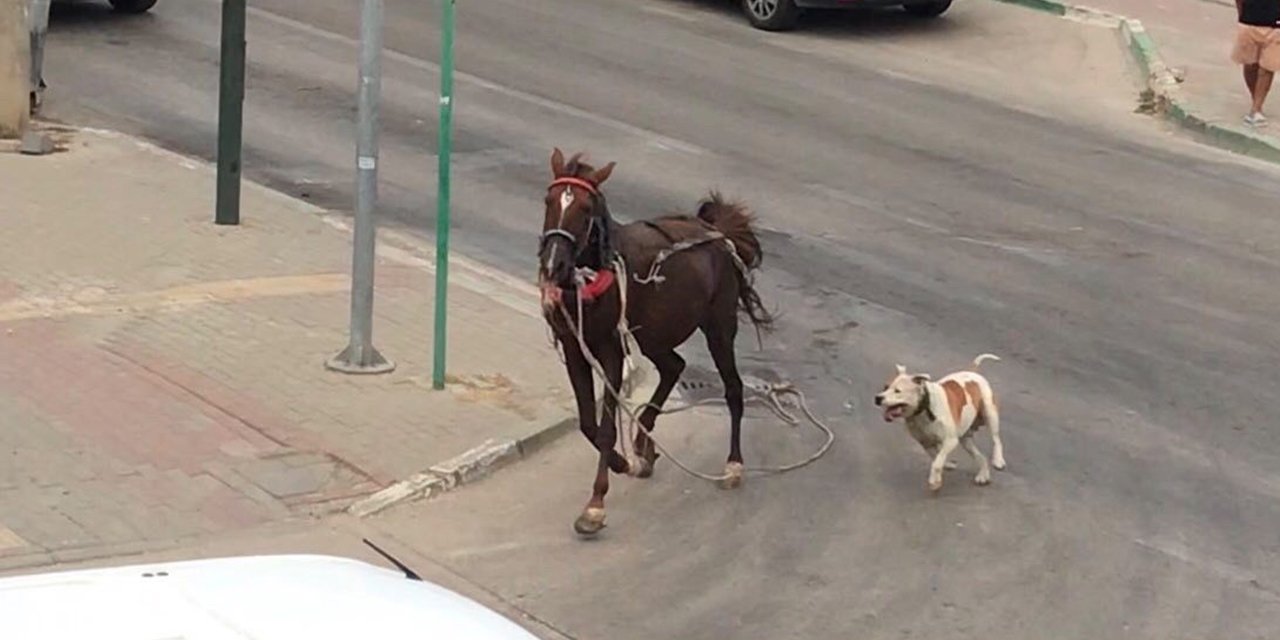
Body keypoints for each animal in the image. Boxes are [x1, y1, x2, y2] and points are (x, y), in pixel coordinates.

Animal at [537, 148, 773, 535]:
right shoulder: (575, 348)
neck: (592, 275)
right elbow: (587, 424)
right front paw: (624, 462)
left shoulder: (612, 351)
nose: (553, 265)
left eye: (585, 208)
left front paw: (595, 505)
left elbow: (605, 429)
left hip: (718, 328)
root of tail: (718, 234)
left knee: (733, 388)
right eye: (550, 200)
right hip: (653, 334)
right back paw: (643, 446)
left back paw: (733, 465)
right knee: (674, 366)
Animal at [875, 353, 1003, 491]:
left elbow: (937, 462)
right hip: (965, 439)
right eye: (885, 387)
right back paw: (983, 475)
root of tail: (972, 372)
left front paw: (934, 480)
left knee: (996, 439)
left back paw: (998, 460)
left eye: (897, 391)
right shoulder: (926, 443)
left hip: (990, 413)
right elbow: (936, 457)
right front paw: (944, 468)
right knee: (980, 456)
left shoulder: (950, 440)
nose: (877, 398)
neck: (924, 409)